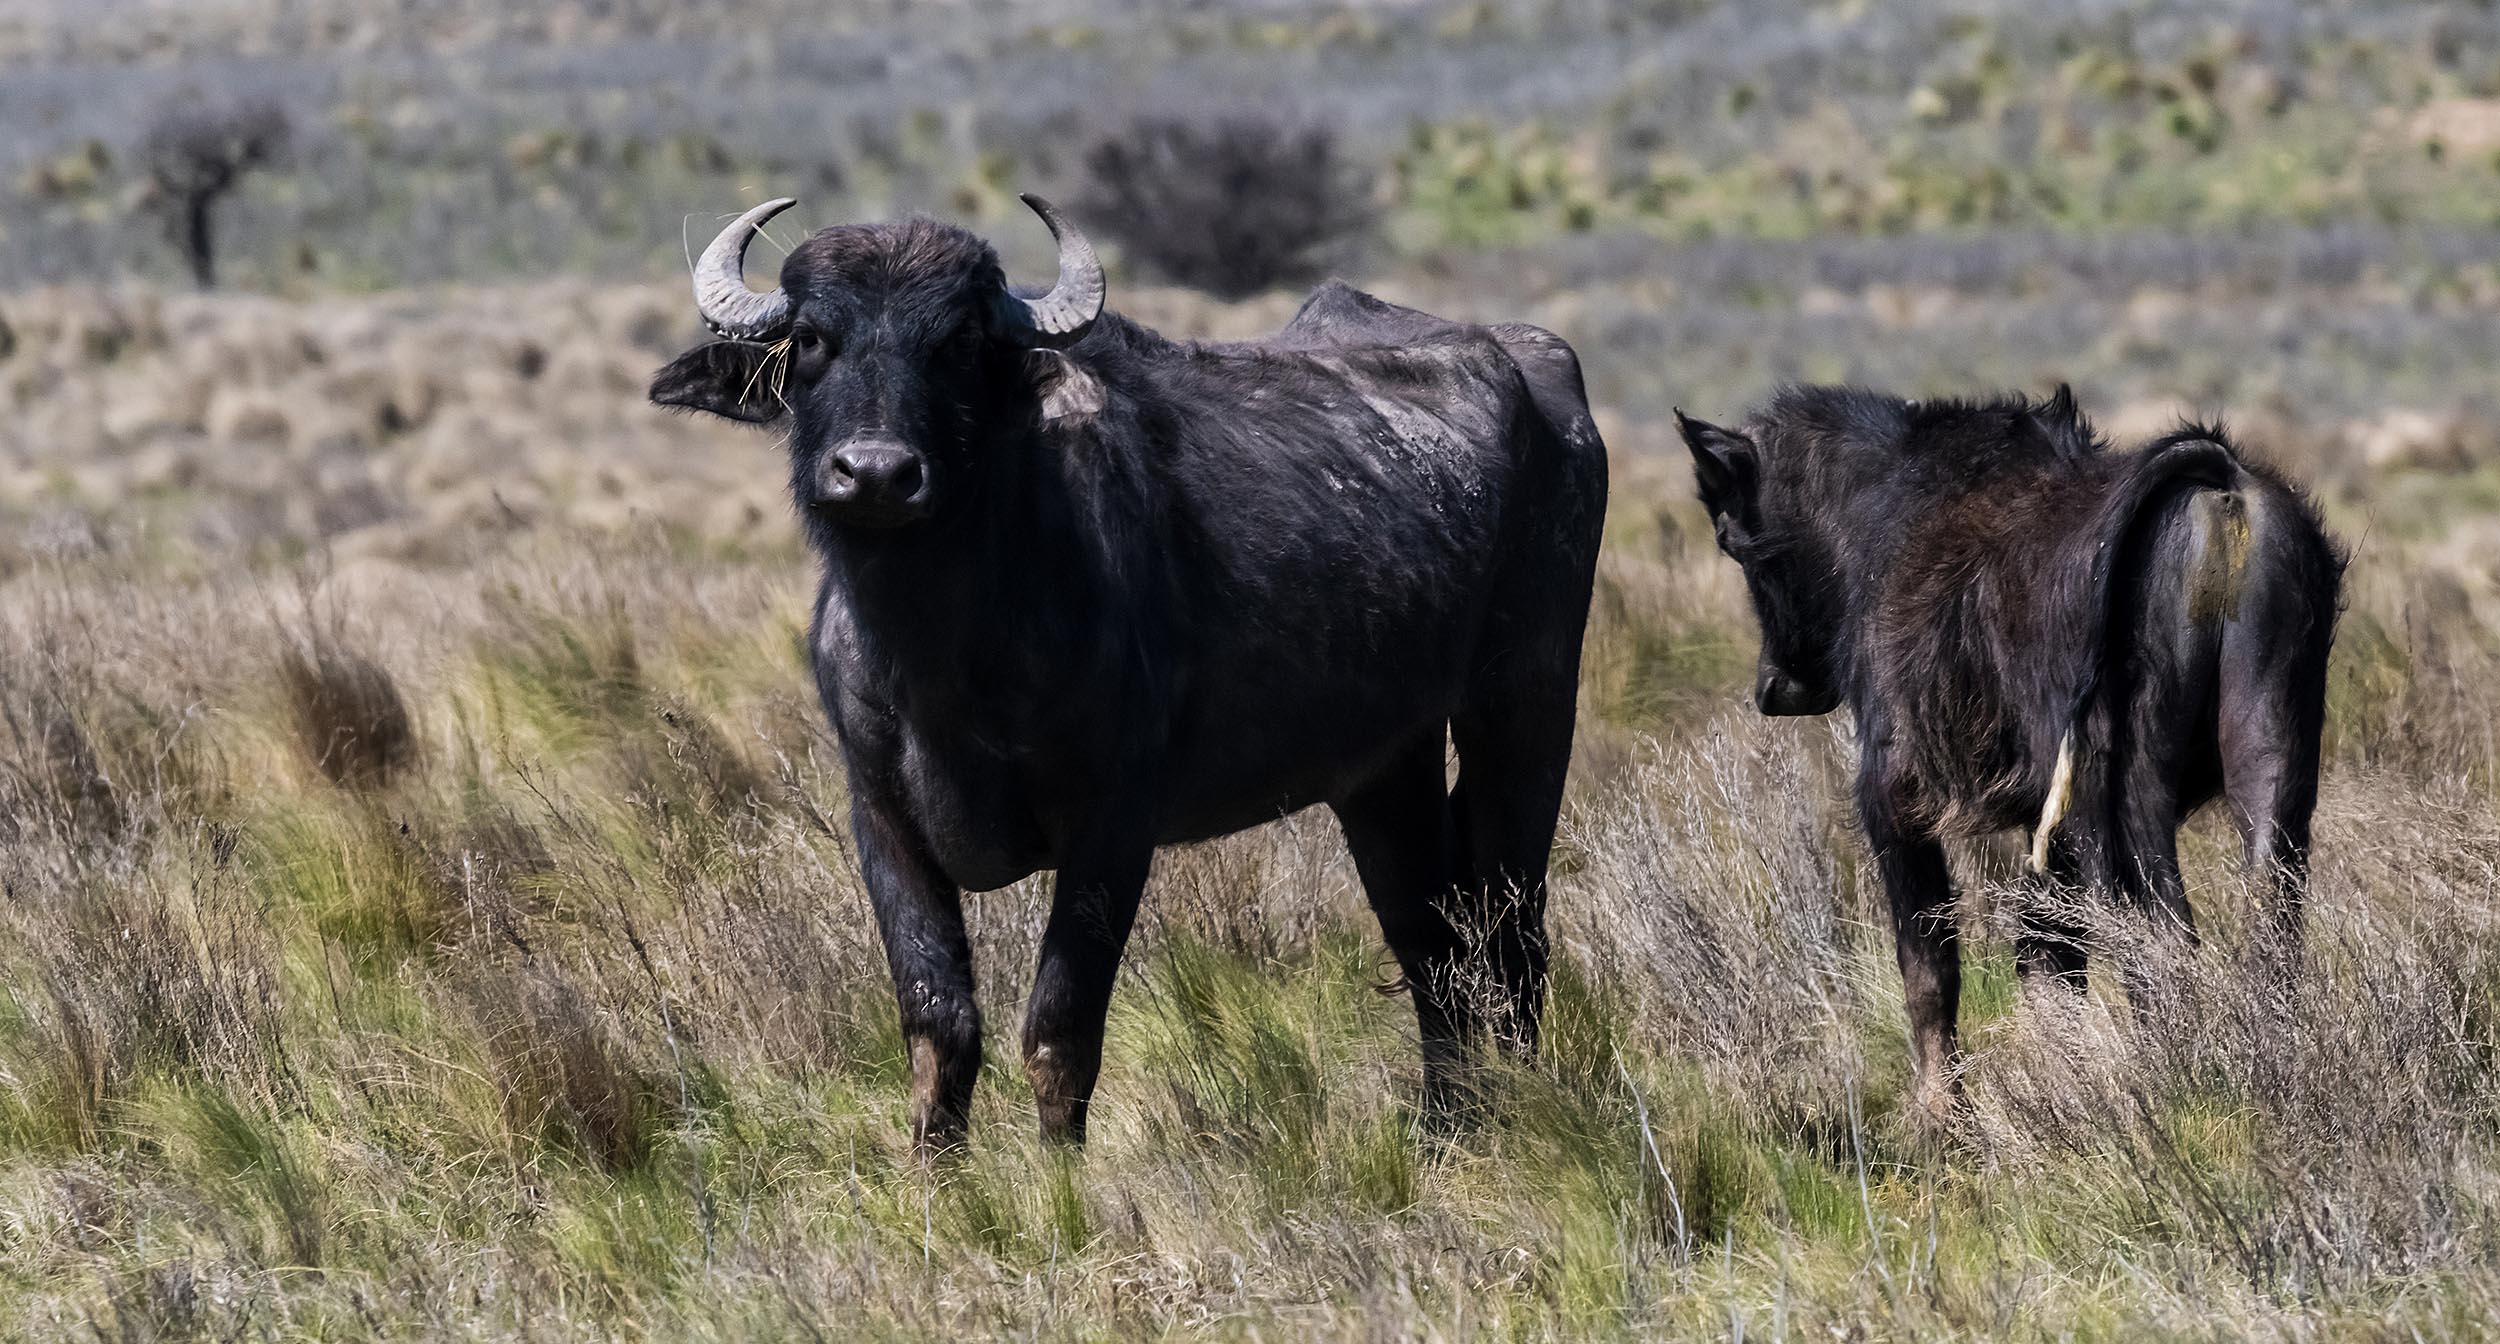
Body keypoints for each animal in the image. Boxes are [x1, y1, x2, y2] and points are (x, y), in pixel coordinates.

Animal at [651, 196, 1607, 1148]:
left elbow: (1060, 1032)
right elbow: (939, 1030)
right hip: (1384, 766)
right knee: (1431, 942)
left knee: (1514, 928)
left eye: (958, 342)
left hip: (1524, 713)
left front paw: (1060, 1179)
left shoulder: (1112, 825)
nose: (877, 474)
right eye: (815, 337)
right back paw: (1447, 1132)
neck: (944, 655)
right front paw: (938, 1175)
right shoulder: (883, 818)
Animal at [1677, 385, 2342, 1113]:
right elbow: (2049, 962)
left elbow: (1929, 965)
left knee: (2161, 934)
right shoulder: (2039, 835)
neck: (1882, 505)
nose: (1774, 688)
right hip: (2270, 749)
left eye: (1731, 539)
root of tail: (2216, 488)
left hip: (2119, 796)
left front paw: (1940, 1112)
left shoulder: (1890, 794)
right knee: (2270, 921)